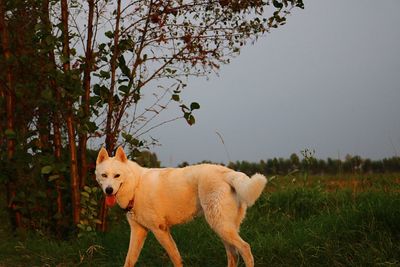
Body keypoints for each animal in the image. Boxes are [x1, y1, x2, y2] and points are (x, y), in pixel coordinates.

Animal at [95, 148, 268, 266]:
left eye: (117, 175)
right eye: (104, 175)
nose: (108, 190)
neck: (135, 185)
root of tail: (227, 172)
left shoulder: (160, 230)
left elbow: (175, 258)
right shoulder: (138, 231)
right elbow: (129, 260)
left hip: (220, 226)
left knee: (245, 248)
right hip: (224, 228)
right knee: (233, 254)